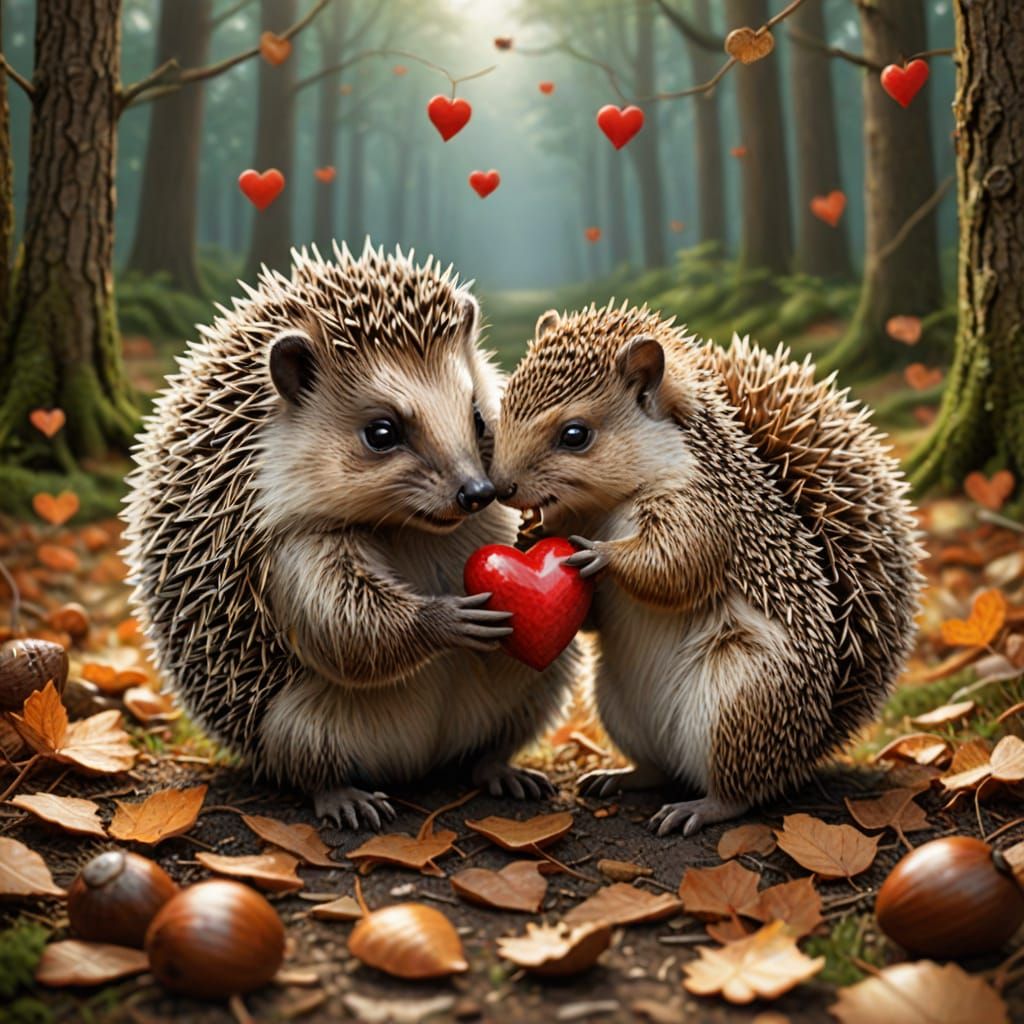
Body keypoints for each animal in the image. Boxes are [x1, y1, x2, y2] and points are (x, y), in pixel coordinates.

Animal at [123, 244, 579, 829]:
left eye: (479, 417)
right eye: (381, 432)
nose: (477, 492)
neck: (407, 529)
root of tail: (420, 760)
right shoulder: (284, 539)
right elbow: (339, 621)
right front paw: (447, 618)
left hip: (537, 682)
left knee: (500, 732)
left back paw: (503, 770)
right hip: (292, 719)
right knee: (303, 755)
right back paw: (345, 797)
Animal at [490, 302, 921, 836]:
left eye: (575, 434)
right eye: (503, 404)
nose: (499, 487)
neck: (605, 506)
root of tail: (804, 748)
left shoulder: (709, 512)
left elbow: (677, 565)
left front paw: (602, 556)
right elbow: (592, 618)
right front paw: (529, 538)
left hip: (741, 704)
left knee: (740, 790)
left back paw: (699, 807)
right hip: (617, 705)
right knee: (656, 768)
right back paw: (620, 776)